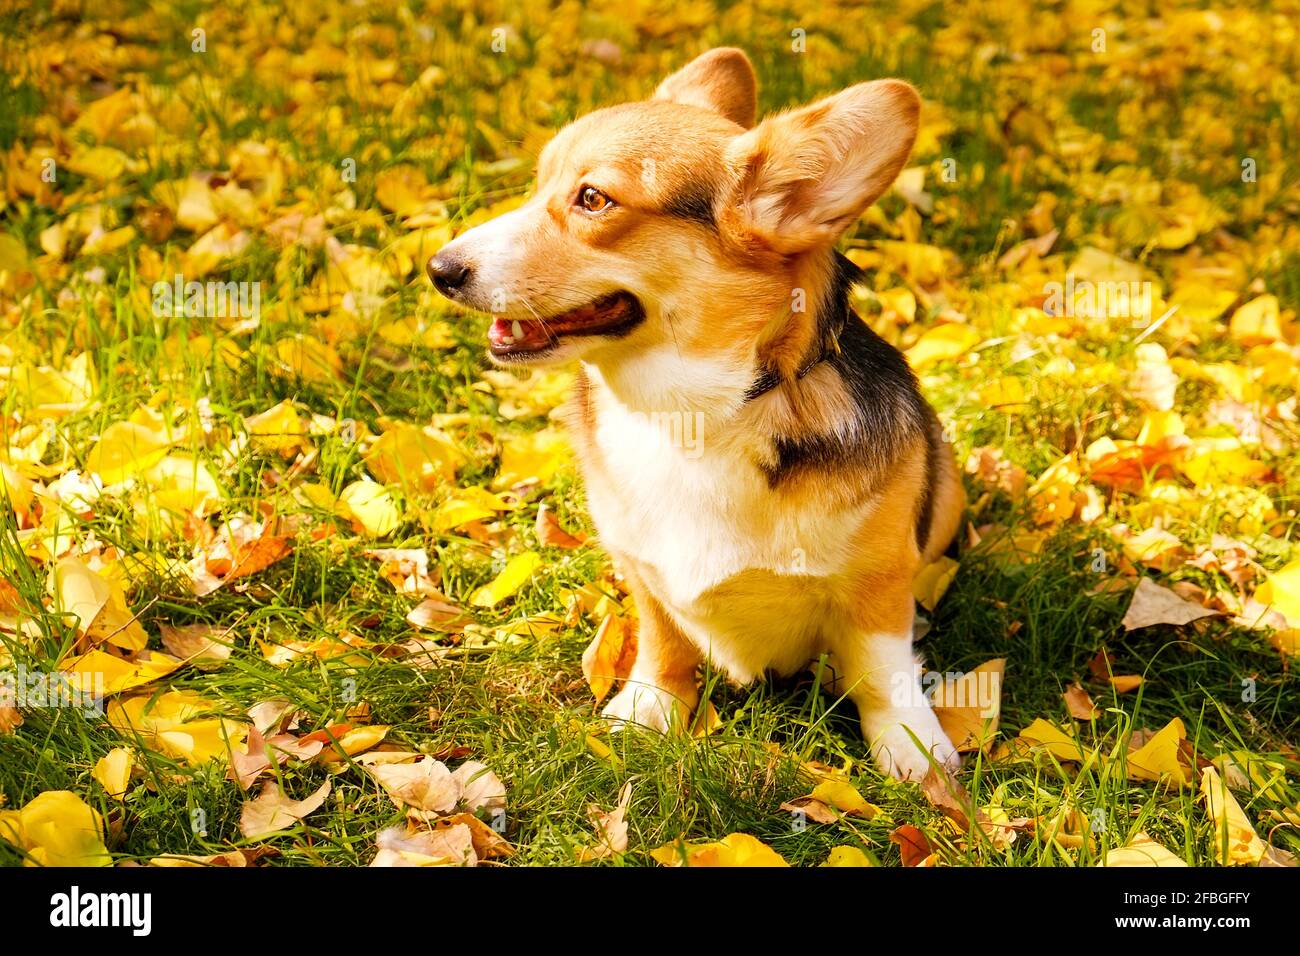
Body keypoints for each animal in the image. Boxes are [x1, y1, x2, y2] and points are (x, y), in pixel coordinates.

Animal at [426, 48, 967, 780]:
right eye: (539, 186)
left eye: (593, 199)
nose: (438, 269)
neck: (692, 416)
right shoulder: (643, 571)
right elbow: (664, 644)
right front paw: (649, 711)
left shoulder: (878, 583)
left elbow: (883, 671)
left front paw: (914, 750)